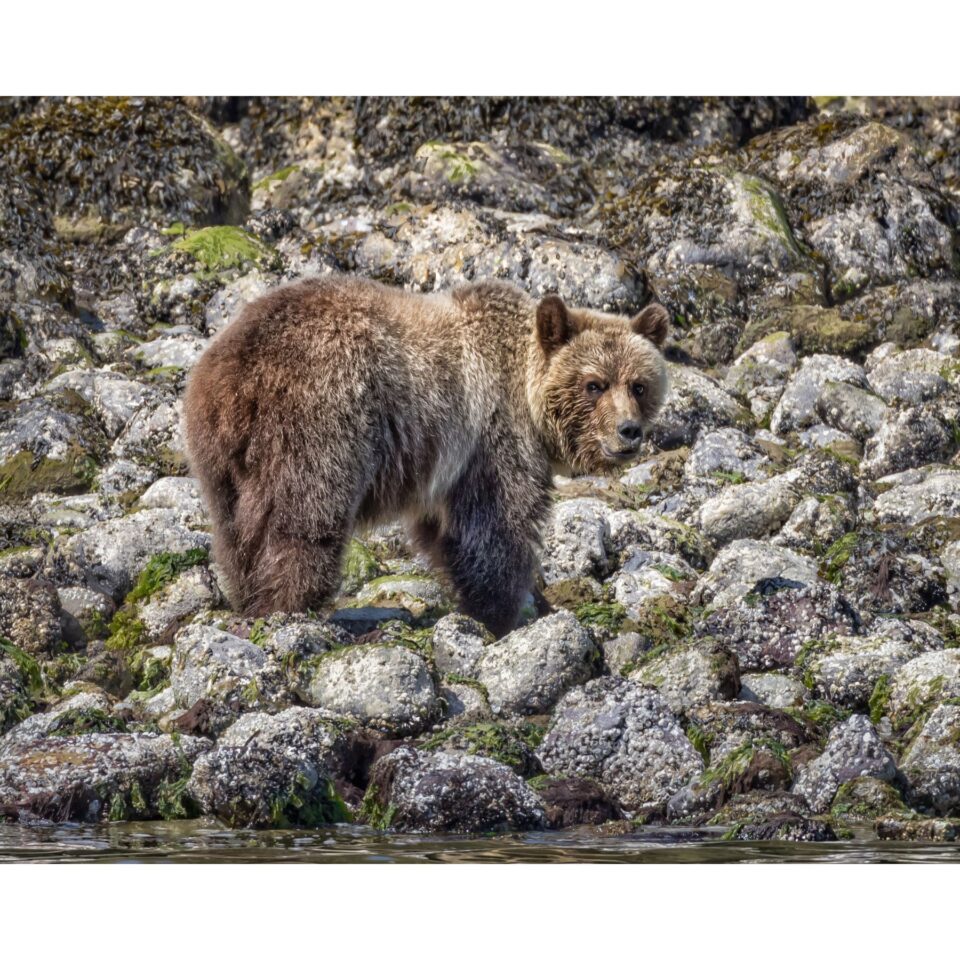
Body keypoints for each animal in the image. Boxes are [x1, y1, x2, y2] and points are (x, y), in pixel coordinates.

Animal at [183, 275, 669, 637]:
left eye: (639, 385)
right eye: (594, 384)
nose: (629, 431)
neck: (526, 393)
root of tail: (237, 369)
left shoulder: (445, 467)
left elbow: (445, 532)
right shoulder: (493, 440)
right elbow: (497, 528)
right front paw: (503, 613)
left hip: (221, 454)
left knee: (235, 530)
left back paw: (247, 597)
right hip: (320, 418)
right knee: (305, 521)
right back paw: (288, 607)